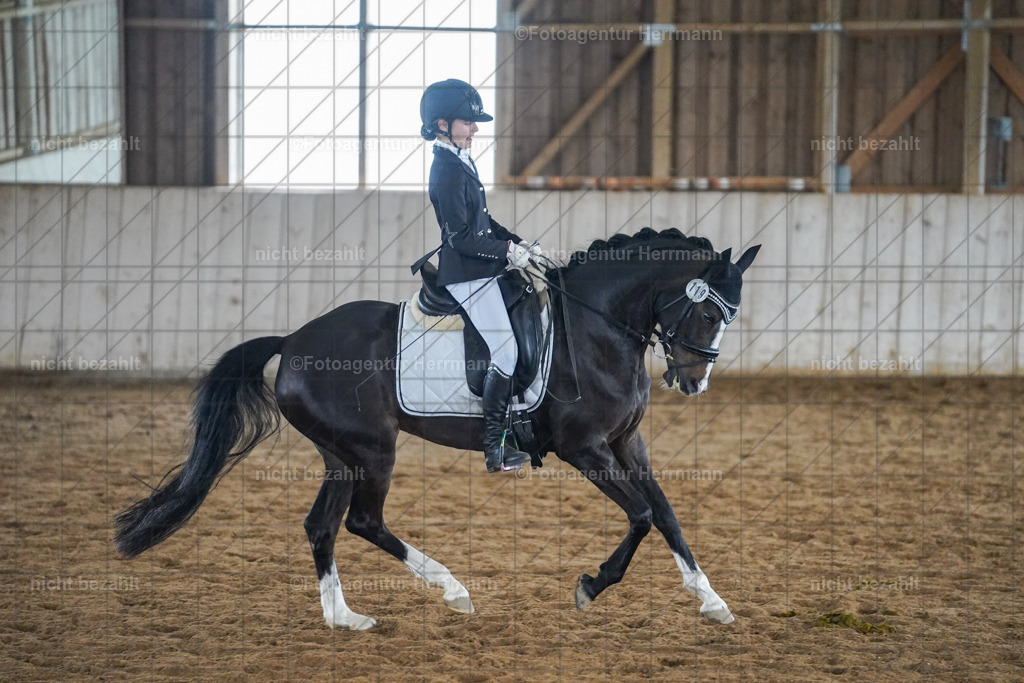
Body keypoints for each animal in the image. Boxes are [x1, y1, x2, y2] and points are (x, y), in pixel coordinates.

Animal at [114, 227, 760, 630]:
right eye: (709, 311)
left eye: (729, 316)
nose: (693, 381)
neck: (597, 329)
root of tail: (294, 341)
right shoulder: (586, 449)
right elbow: (643, 515)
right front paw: (591, 585)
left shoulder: (629, 443)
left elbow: (667, 513)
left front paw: (712, 600)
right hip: (371, 450)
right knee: (361, 520)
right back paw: (451, 589)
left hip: (341, 454)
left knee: (323, 525)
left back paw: (345, 618)